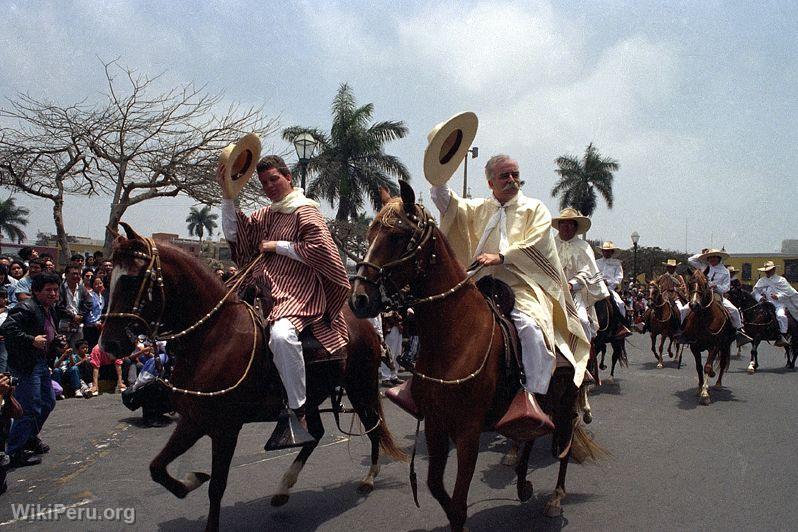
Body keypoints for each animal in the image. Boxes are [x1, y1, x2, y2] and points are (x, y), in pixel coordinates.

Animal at [101, 224, 406, 532]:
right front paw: (190, 480)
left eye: (131, 279)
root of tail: (366, 326)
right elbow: (157, 468)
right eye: (109, 278)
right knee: (316, 434)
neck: (213, 336)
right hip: (315, 395)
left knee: (373, 425)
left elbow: (216, 487)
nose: (109, 344)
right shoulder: (194, 420)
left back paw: (369, 477)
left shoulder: (225, 428)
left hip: (361, 387)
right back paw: (284, 487)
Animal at [346, 182, 604, 528]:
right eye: (371, 232)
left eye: (397, 236)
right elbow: (435, 487)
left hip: (565, 402)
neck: (456, 337)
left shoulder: (468, 432)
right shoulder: (436, 425)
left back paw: (555, 497)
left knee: (563, 445)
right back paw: (522, 483)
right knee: (531, 433)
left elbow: (457, 505)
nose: (359, 299)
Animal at [680, 268, 736, 406]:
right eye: (690, 283)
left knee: (722, 363)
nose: (694, 304)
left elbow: (707, 366)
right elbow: (699, 367)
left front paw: (705, 394)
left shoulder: (714, 346)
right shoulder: (694, 346)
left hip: (725, 345)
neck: (704, 318)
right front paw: (701, 388)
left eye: (705, 284)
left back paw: (718, 384)